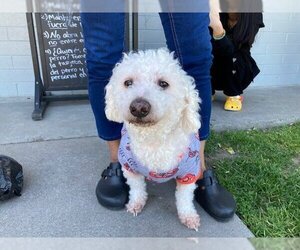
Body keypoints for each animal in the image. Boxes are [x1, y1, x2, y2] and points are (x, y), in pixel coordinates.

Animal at [105, 48, 202, 230]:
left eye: (163, 84)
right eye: (128, 83)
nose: (138, 107)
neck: (154, 139)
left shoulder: (190, 171)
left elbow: (185, 197)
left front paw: (188, 216)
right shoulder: (129, 166)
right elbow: (136, 188)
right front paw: (136, 203)